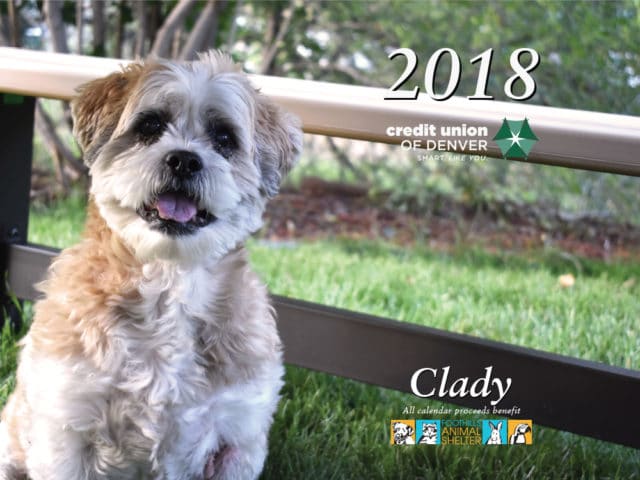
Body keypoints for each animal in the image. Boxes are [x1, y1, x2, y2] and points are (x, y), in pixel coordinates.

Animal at [0, 50, 302, 478]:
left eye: (224, 138)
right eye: (150, 125)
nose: (184, 160)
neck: (169, 282)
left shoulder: (237, 437)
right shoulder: (66, 421)